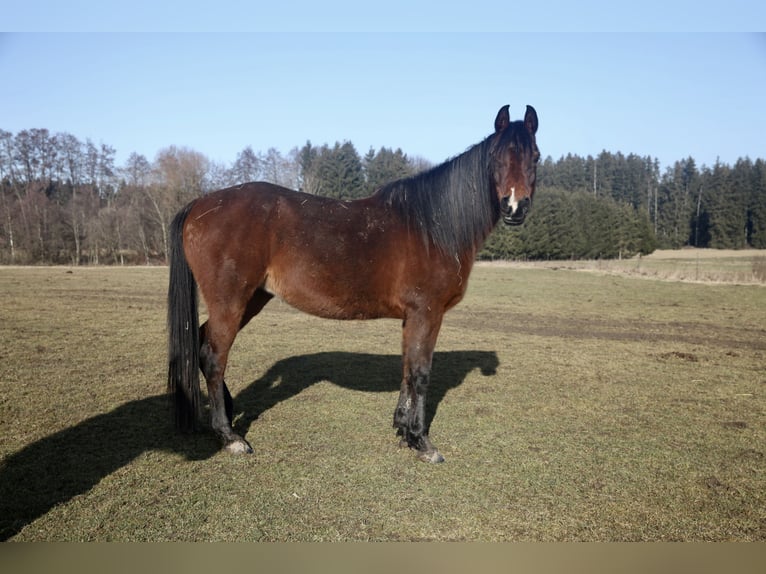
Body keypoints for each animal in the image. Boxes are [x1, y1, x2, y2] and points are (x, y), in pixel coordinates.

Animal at [167, 105, 540, 463]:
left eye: (535, 156)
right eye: (497, 157)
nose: (514, 207)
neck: (431, 228)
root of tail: (200, 205)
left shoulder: (412, 318)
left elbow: (407, 368)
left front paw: (402, 430)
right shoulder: (427, 313)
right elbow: (420, 372)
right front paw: (422, 441)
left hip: (251, 299)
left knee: (202, 345)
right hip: (231, 301)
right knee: (214, 356)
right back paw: (230, 437)